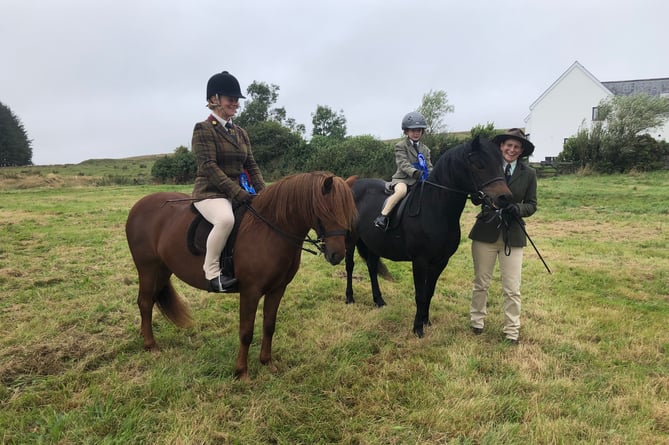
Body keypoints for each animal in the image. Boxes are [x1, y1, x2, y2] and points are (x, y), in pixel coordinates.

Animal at [124, 172, 354, 380]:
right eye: (327, 210)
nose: (337, 255)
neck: (269, 230)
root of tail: (138, 206)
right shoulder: (250, 291)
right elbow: (246, 331)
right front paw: (242, 371)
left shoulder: (277, 289)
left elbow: (269, 325)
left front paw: (267, 362)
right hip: (148, 269)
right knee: (145, 302)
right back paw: (151, 345)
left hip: (163, 270)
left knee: (149, 300)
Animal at [344, 135, 512, 336]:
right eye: (479, 164)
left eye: (500, 163)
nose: (505, 198)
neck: (435, 208)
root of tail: (353, 185)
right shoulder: (420, 261)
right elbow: (420, 295)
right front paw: (417, 328)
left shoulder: (440, 261)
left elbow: (429, 292)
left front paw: (426, 321)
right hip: (350, 239)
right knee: (350, 266)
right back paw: (349, 298)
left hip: (373, 242)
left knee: (371, 266)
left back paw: (379, 301)